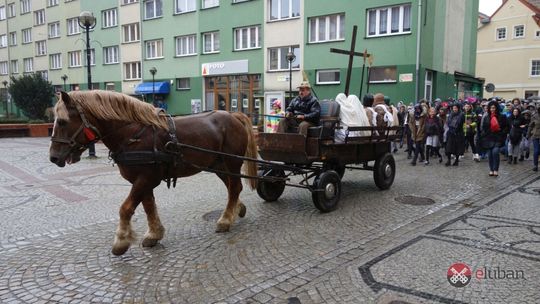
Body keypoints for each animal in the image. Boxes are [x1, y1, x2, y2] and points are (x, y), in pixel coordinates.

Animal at [48, 91, 258, 256]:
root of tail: (233, 115)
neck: (133, 135)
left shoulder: (145, 178)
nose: (53, 157)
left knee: (234, 187)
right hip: (217, 165)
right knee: (232, 187)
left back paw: (225, 220)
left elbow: (126, 208)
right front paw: (154, 233)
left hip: (231, 163)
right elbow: (148, 206)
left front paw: (121, 241)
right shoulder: (143, 180)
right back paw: (236, 209)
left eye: (63, 121)